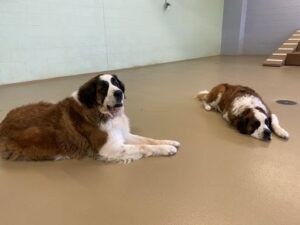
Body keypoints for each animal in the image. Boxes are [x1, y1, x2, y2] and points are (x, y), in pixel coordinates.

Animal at [0, 74, 180, 163]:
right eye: (103, 88)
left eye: (116, 83)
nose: (119, 93)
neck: (101, 112)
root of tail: (3, 122)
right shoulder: (108, 148)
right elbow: (142, 146)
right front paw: (166, 149)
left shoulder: (123, 134)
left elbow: (147, 139)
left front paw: (169, 142)